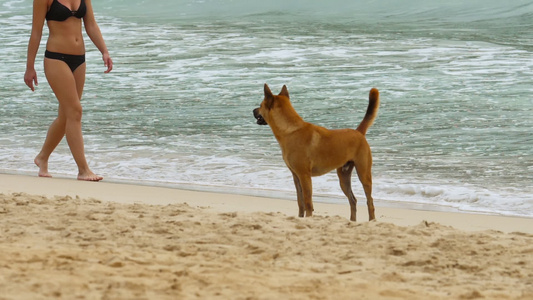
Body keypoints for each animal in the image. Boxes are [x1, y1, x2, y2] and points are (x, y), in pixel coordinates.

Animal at [252, 84, 378, 220]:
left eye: (260, 105)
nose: (253, 110)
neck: (291, 130)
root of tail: (358, 132)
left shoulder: (304, 176)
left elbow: (307, 202)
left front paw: (308, 218)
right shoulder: (296, 176)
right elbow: (300, 201)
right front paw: (300, 217)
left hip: (364, 174)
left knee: (370, 201)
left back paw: (371, 220)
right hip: (343, 178)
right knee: (353, 200)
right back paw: (352, 221)